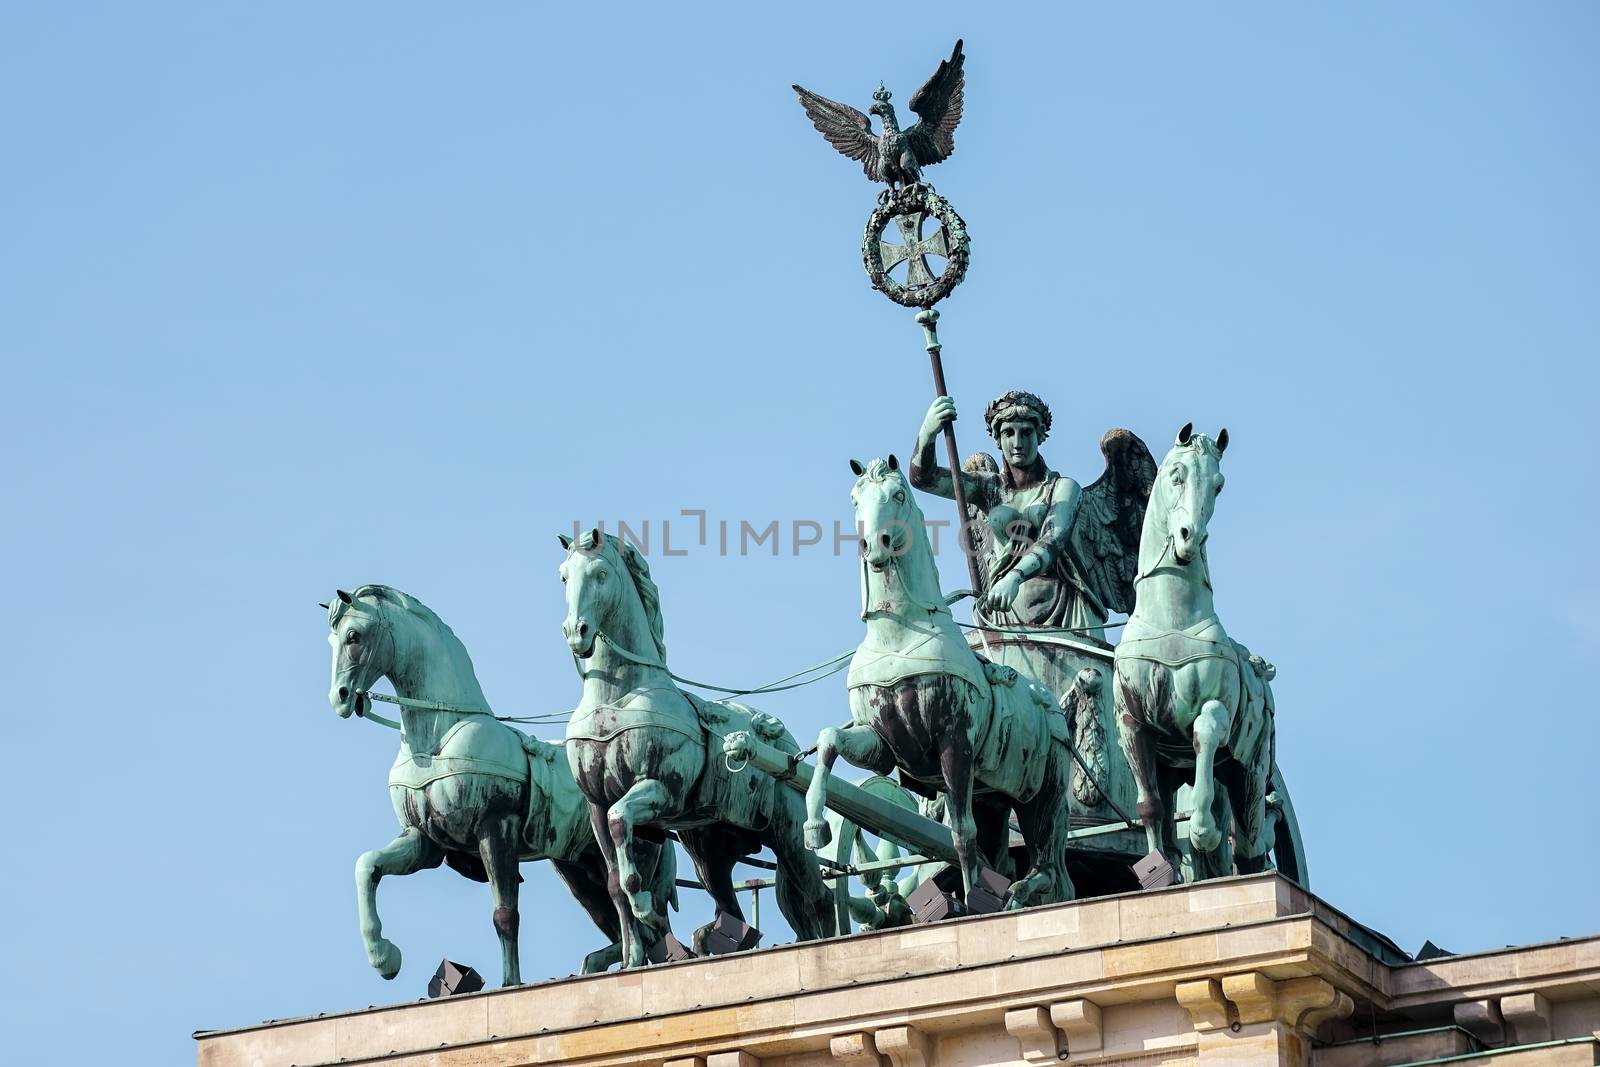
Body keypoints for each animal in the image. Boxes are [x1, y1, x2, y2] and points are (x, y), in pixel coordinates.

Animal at [324, 585, 675, 985]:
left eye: (353, 636)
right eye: (331, 639)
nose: (340, 696)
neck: (435, 740)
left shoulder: (495, 828)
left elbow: (505, 914)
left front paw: (511, 983)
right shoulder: (424, 842)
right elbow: (367, 865)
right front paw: (384, 957)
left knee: (645, 917)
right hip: (579, 870)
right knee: (621, 919)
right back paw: (600, 962)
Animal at [560, 531, 838, 966]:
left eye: (601, 573)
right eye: (563, 576)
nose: (576, 630)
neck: (616, 698)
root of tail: (786, 741)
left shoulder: (659, 789)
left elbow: (624, 824)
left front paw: (646, 906)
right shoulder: (596, 805)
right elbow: (614, 882)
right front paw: (633, 958)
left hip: (792, 835)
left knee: (819, 898)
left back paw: (823, 950)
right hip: (709, 853)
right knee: (732, 911)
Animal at [806, 457, 1081, 908]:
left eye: (898, 495)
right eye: (855, 499)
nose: (875, 546)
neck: (898, 636)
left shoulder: (955, 740)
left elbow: (961, 832)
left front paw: (973, 901)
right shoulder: (881, 744)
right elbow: (829, 739)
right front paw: (815, 825)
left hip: (1045, 792)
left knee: (1050, 866)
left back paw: (1018, 893)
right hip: (994, 799)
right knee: (1012, 859)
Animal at [1120, 428, 1280, 883]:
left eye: (1218, 485)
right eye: (1176, 473)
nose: (1190, 536)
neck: (1172, 617)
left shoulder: (1215, 710)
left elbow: (1205, 732)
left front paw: (1204, 830)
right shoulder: (1132, 724)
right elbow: (1150, 808)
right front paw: (1159, 867)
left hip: (1250, 772)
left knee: (1250, 844)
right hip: (1173, 771)